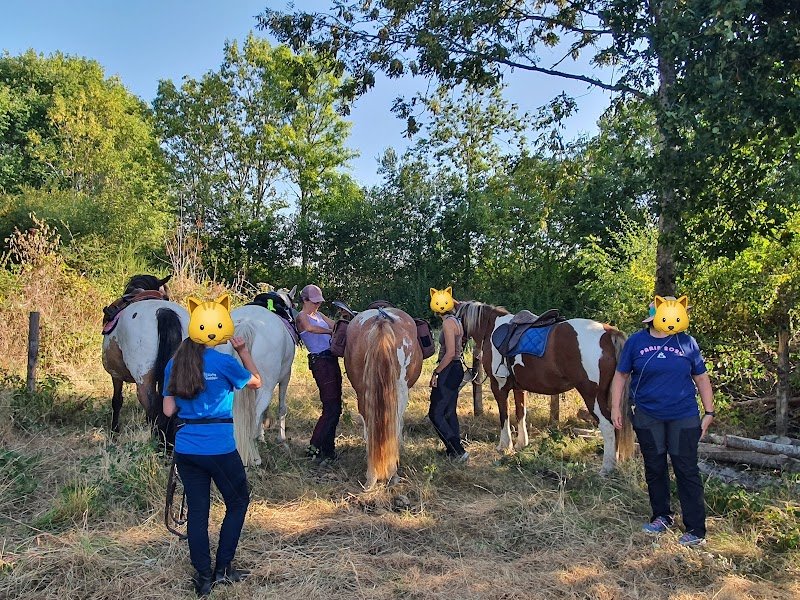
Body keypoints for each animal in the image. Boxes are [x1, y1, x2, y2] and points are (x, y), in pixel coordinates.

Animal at [101, 274, 189, 443]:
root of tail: (164, 312)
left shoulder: (116, 375)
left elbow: (117, 401)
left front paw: (114, 432)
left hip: (144, 380)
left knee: (152, 409)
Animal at [224, 286, 298, 467]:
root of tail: (246, 323)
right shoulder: (286, 376)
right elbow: (281, 408)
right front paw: (280, 438)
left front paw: (262, 437)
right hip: (265, 388)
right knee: (254, 416)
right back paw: (255, 457)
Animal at [344, 307, 423, 488]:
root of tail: (381, 320)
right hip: (400, 391)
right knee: (395, 422)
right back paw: (391, 473)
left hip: (363, 391)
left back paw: (372, 475)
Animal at [455, 300, 634, 473]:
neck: (491, 327)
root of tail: (608, 333)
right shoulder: (518, 387)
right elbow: (521, 413)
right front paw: (521, 444)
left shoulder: (498, 385)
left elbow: (504, 415)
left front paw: (504, 445)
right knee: (616, 426)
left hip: (592, 395)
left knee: (608, 426)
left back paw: (606, 468)